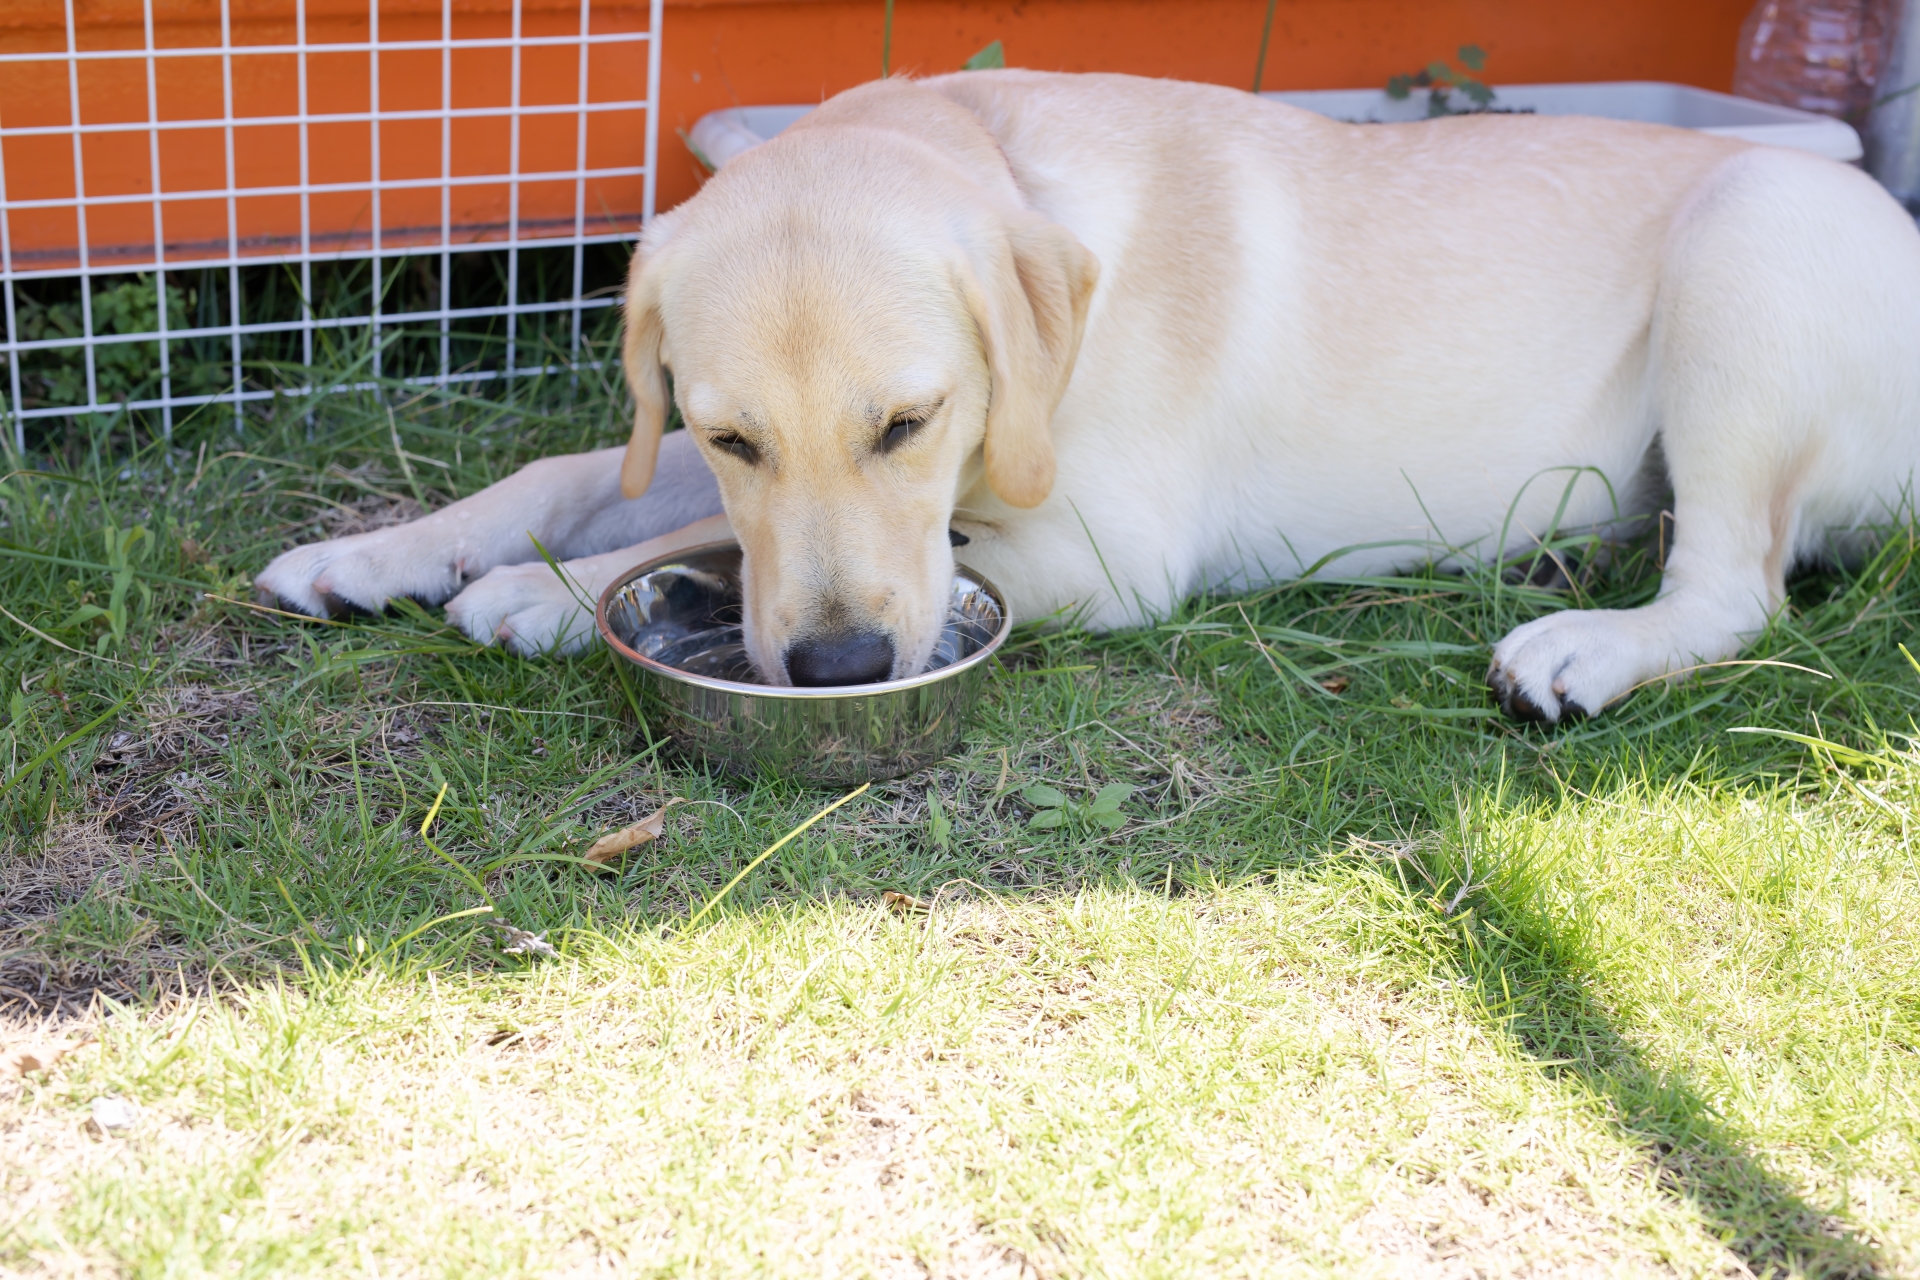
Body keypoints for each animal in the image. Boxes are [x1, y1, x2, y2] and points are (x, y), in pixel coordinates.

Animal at [255, 72, 1920, 721]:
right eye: (730, 433)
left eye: (908, 423)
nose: (845, 670)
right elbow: (581, 483)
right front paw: (379, 551)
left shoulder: (1099, 553)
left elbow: (706, 545)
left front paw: (540, 596)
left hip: (1750, 241)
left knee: (1735, 590)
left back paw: (1587, 642)